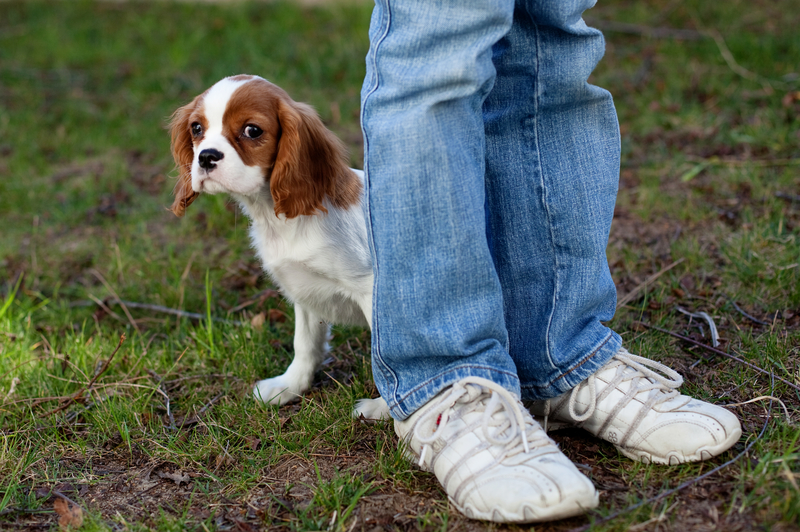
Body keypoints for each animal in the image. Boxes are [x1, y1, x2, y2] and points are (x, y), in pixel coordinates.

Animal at [170, 75, 390, 420]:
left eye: (252, 130)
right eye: (196, 128)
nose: (205, 157)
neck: (275, 217)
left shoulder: (371, 290)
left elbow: (387, 355)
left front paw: (385, 409)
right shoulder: (306, 292)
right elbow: (305, 344)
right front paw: (289, 387)